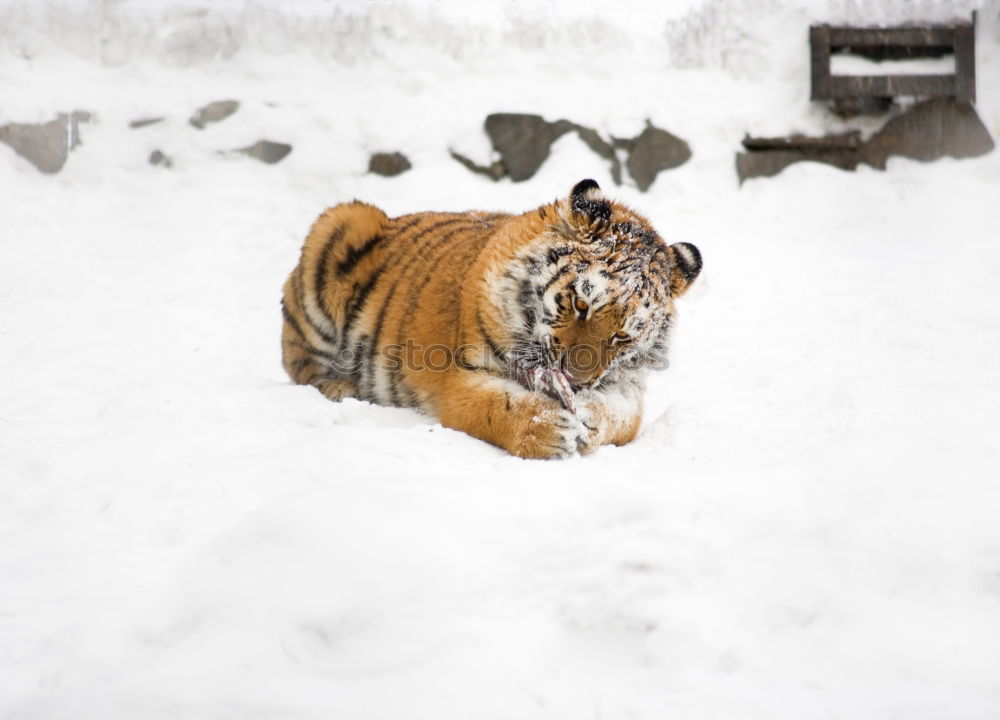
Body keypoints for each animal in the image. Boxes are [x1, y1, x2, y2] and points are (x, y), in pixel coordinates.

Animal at [282, 181, 704, 462]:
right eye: (580, 304)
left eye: (622, 336)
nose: (578, 380)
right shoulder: (462, 376)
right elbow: (499, 408)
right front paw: (549, 430)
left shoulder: (630, 388)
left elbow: (617, 416)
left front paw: (587, 418)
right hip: (341, 225)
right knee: (302, 365)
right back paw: (342, 389)